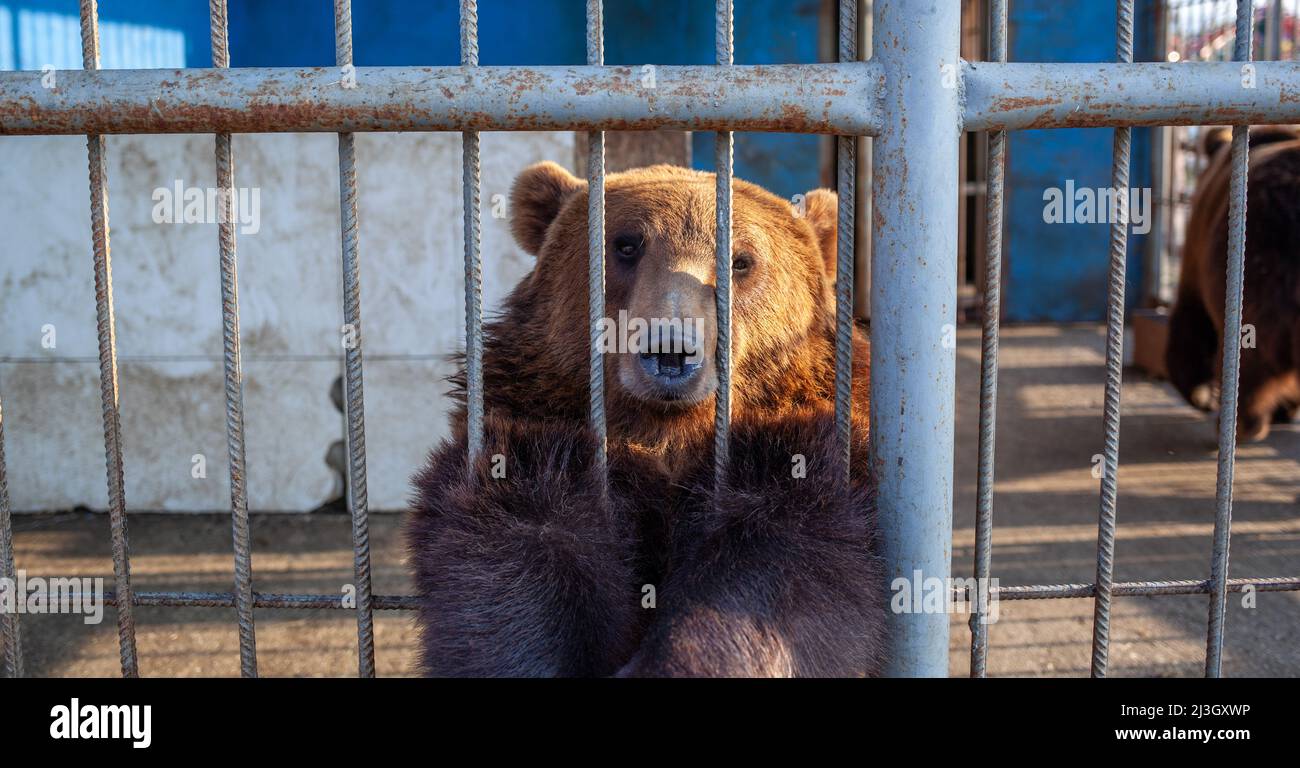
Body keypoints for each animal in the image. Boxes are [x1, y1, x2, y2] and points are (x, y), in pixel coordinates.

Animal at [406, 163, 884, 677]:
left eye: (741, 261)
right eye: (626, 244)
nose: (671, 347)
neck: (666, 435)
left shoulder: (795, 457)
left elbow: (779, 573)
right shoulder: (538, 446)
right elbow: (513, 572)